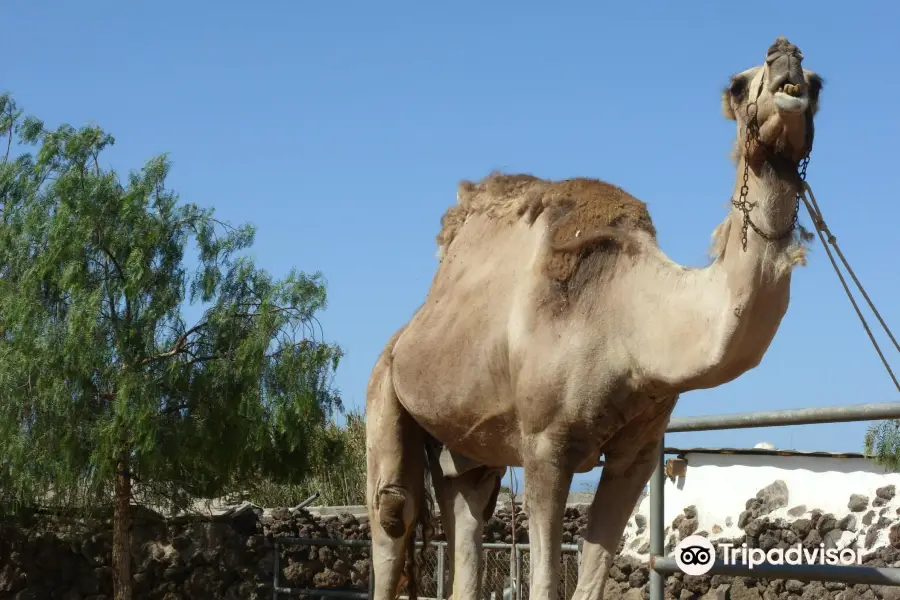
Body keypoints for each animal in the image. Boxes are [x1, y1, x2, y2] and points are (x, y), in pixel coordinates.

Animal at [364, 38, 824, 600]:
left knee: (467, 506)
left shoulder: (638, 452)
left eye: (819, 84)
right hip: (385, 386)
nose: (787, 56)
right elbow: (544, 580)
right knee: (393, 510)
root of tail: (405, 333)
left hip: (464, 442)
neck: (633, 321)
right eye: (737, 86)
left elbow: (593, 567)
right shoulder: (545, 444)